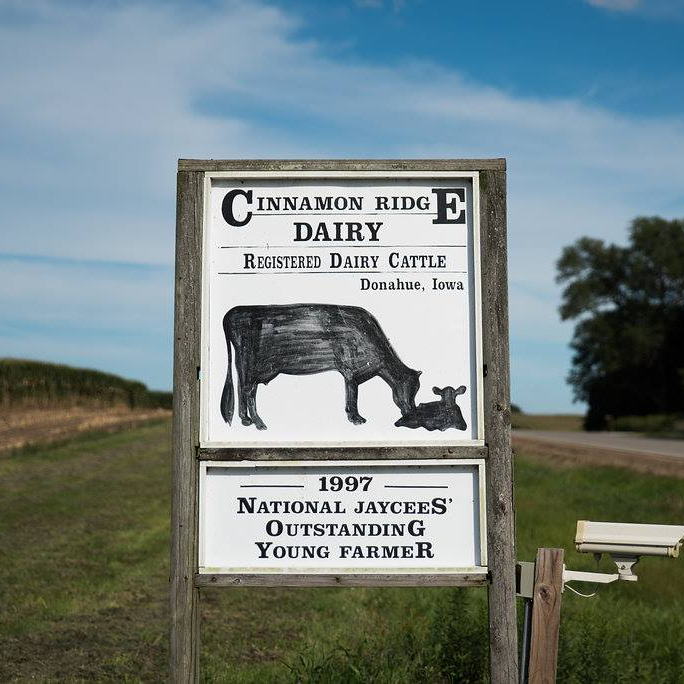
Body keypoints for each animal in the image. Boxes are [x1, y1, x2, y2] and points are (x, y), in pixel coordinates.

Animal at [220, 304, 422, 430]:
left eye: (416, 390)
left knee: (241, 387)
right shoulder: (351, 371)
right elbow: (353, 396)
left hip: (243, 364)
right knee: (248, 391)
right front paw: (356, 419)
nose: (411, 411)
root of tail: (232, 314)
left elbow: (350, 396)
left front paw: (351, 416)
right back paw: (259, 423)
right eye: (409, 389)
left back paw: (245, 420)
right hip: (254, 365)